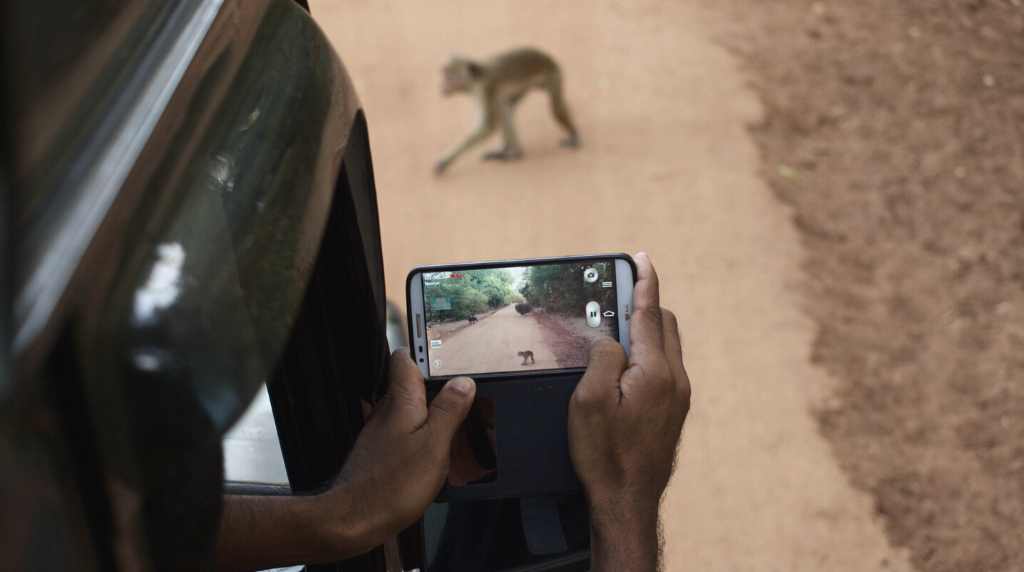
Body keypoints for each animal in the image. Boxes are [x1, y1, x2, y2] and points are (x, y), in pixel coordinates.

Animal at [432, 47, 577, 174]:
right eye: (444, 73)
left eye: (449, 76)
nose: (442, 86)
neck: (476, 79)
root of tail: (548, 58)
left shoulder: (486, 90)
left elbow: (487, 127)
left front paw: (445, 160)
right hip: (525, 88)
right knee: (506, 109)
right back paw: (510, 152)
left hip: (553, 75)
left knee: (555, 108)